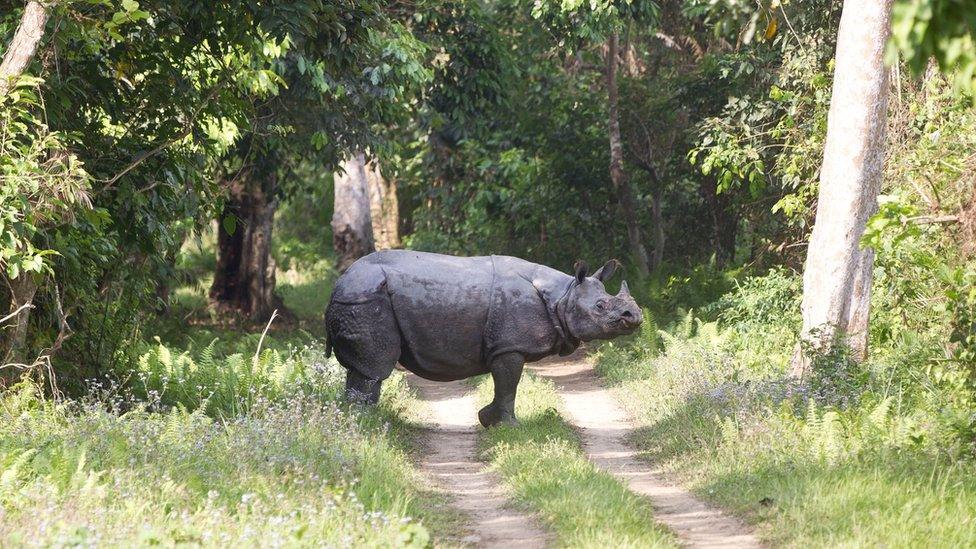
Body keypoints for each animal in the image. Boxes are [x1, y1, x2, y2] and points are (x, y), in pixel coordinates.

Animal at [324, 250, 644, 426]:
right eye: (600, 307)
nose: (635, 316)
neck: (563, 294)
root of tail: (339, 284)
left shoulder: (506, 344)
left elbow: (506, 385)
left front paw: (488, 420)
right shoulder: (509, 345)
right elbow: (508, 385)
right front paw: (507, 426)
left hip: (359, 297)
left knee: (360, 369)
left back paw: (357, 420)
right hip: (365, 299)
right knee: (374, 368)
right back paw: (365, 423)